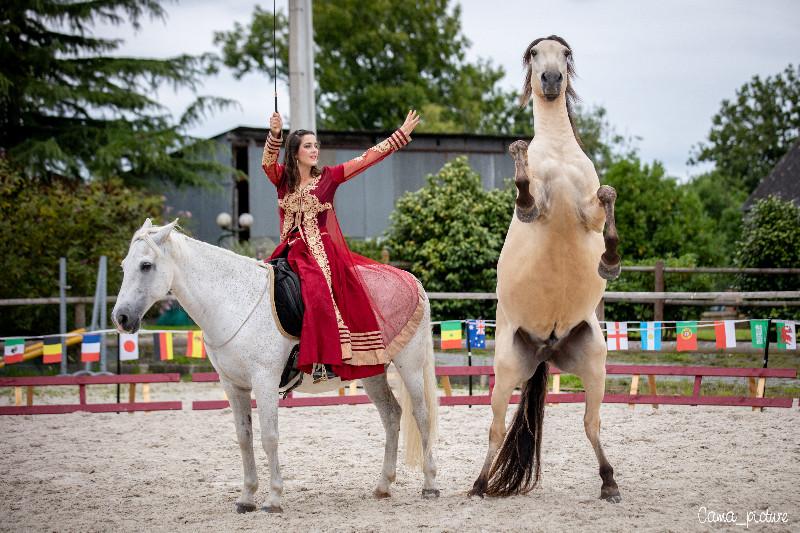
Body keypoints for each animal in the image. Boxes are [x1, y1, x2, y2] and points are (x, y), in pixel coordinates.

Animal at [111, 219, 440, 512]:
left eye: (146, 265)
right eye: (125, 265)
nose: (121, 318)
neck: (233, 301)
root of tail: (412, 280)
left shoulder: (264, 382)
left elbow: (269, 437)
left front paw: (273, 498)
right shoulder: (234, 386)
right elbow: (244, 438)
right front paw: (247, 497)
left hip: (410, 367)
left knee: (422, 416)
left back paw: (430, 484)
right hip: (372, 372)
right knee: (392, 415)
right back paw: (383, 485)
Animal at [468, 35, 624, 500]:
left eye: (566, 55)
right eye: (534, 54)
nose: (552, 80)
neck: (558, 152)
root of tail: (546, 349)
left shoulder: (591, 211)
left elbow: (608, 202)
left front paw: (610, 263)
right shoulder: (535, 205)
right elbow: (525, 191)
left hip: (594, 363)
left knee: (591, 424)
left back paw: (610, 483)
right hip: (505, 372)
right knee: (496, 429)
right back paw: (479, 485)